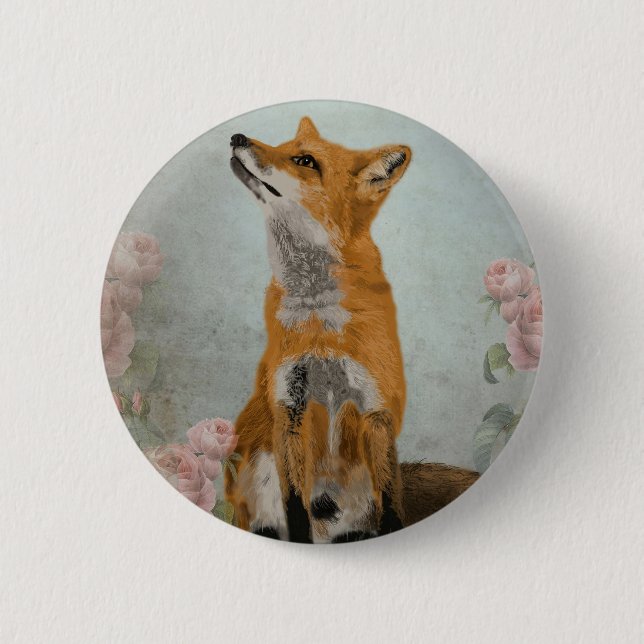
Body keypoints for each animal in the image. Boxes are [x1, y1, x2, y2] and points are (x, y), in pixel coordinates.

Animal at [225, 116, 412, 543]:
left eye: (305, 160)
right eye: (283, 145)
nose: (235, 136)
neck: (319, 324)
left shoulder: (376, 408)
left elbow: (392, 506)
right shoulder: (289, 406)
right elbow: (296, 508)